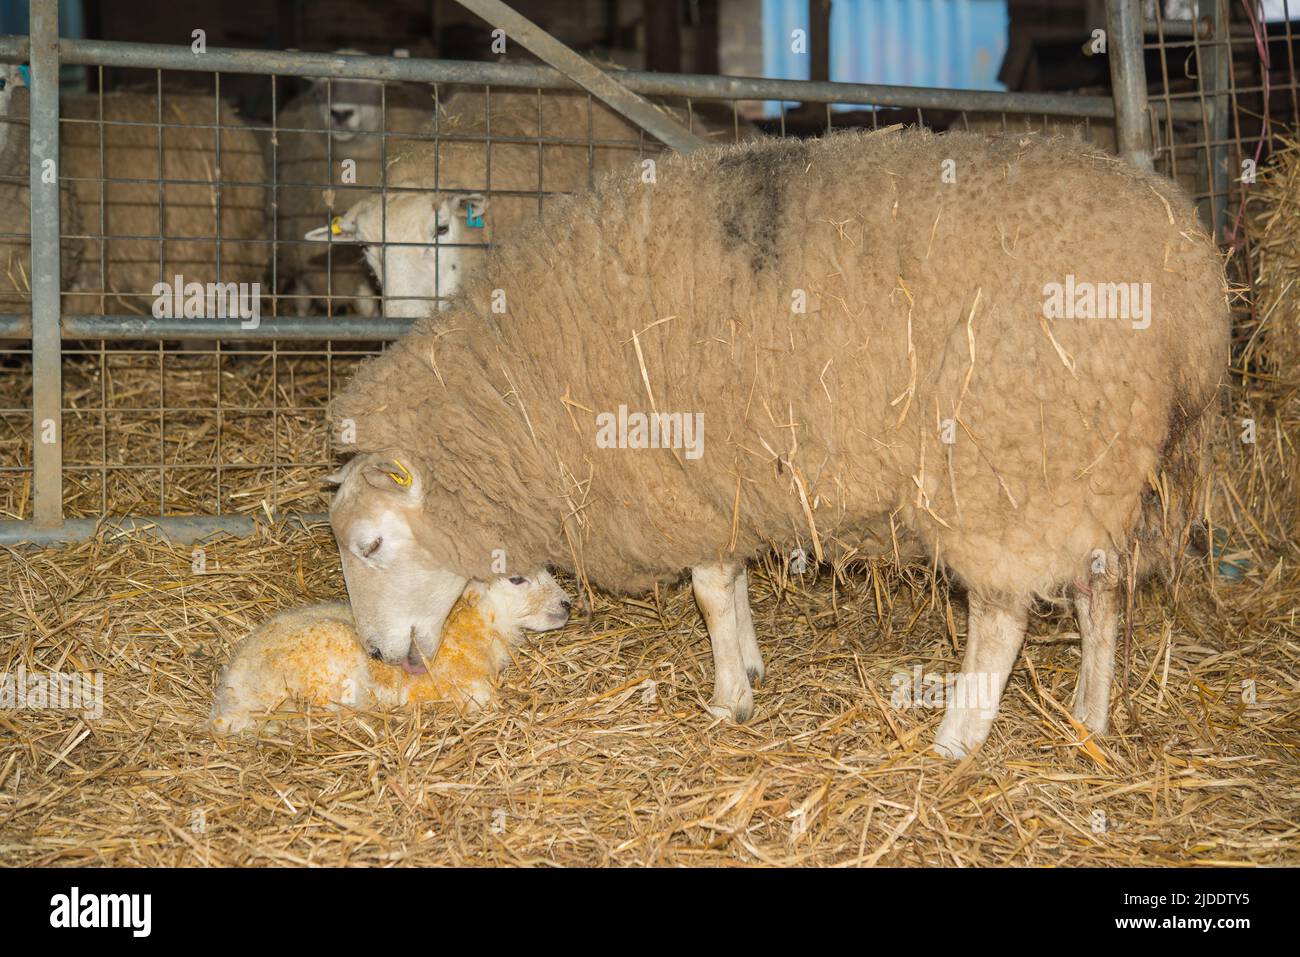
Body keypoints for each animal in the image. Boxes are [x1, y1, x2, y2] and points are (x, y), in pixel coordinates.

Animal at [326, 128, 1229, 758]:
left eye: (371, 544)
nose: (375, 651)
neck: (522, 376)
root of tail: (1188, 276)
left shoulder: (681, 471)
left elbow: (709, 589)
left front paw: (729, 696)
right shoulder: (724, 472)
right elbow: (731, 582)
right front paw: (752, 666)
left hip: (1008, 458)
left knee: (1003, 613)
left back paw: (958, 735)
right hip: (1097, 462)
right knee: (1102, 591)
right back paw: (1088, 716)